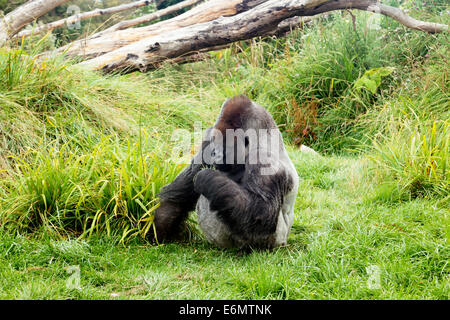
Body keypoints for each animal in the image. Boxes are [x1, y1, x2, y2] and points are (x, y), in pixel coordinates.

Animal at [152, 95, 298, 250]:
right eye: (214, 142)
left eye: (225, 145)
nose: (214, 153)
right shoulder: (208, 136)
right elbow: (180, 193)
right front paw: (158, 229)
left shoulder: (264, 158)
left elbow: (263, 214)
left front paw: (206, 177)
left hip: (272, 242)